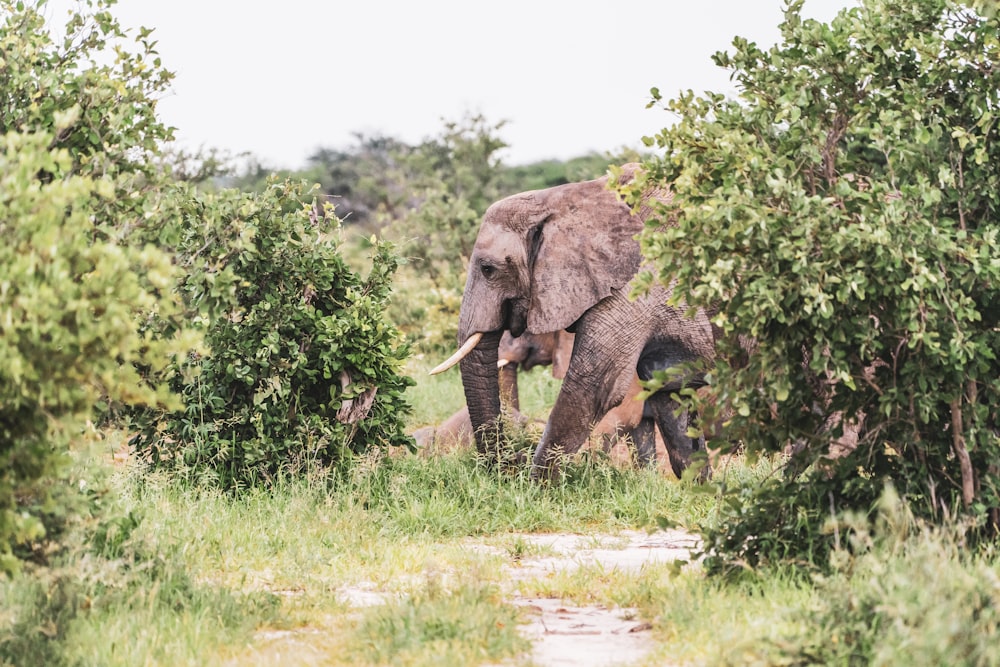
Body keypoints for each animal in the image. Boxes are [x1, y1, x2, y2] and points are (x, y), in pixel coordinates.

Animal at [432, 166, 720, 480]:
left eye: (488, 269)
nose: (512, 460)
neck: (563, 199)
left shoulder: (639, 283)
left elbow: (592, 387)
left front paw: (535, 487)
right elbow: (672, 400)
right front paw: (700, 487)